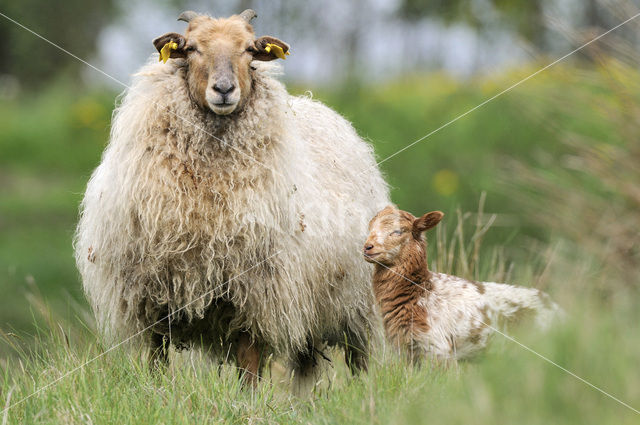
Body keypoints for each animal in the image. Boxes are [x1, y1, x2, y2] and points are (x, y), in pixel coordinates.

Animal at [72, 8, 388, 390]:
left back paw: (364, 392)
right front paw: (156, 392)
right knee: (305, 363)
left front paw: (246, 400)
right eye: (191, 48)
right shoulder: (151, 298)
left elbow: (249, 368)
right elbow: (156, 360)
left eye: (250, 50)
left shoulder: (255, 294)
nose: (224, 90)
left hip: (354, 303)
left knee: (358, 358)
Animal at [362, 205, 564, 362]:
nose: (367, 247)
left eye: (398, 231)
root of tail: (558, 310)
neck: (420, 293)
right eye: (369, 228)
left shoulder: (437, 348)